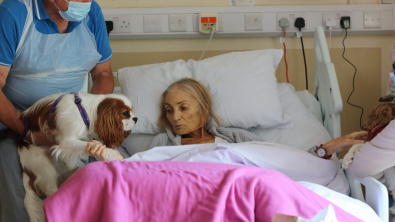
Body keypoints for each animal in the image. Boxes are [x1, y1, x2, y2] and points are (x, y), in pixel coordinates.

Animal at [16, 93, 138, 222]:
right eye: (125, 113)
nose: (136, 119)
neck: (84, 112)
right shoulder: (67, 141)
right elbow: (90, 144)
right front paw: (111, 153)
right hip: (44, 166)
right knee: (51, 192)